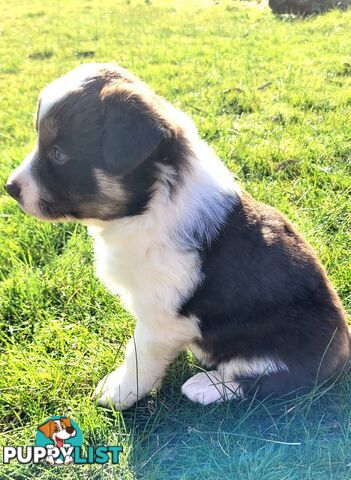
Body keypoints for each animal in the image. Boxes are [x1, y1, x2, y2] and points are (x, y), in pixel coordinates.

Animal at [4, 62, 350, 408]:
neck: (147, 207)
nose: (9, 187)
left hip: (276, 342)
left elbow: (138, 355)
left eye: (59, 153)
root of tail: (342, 351)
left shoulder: (162, 317)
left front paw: (118, 392)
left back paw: (205, 386)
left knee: (272, 380)